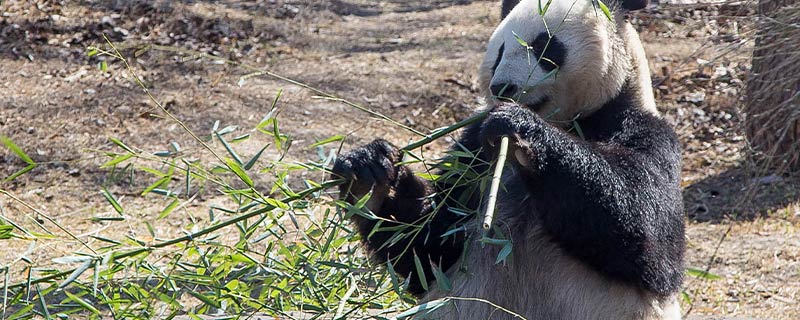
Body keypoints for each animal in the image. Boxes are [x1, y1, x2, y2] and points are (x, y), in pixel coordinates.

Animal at [332, 1, 688, 318]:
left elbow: (649, 237)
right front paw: (369, 175)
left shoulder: (638, 127)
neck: (567, 122)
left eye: (545, 46)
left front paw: (521, 127)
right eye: (499, 52)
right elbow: (426, 249)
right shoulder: (472, 154)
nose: (503, 87)